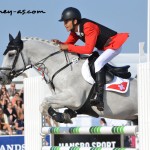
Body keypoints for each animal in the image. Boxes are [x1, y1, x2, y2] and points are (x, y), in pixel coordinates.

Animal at [0, 31, 138, 124]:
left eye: (11, 54)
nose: (2, 78)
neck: (62, 67)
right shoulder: (65, 99)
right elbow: (47, 104)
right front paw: (64, 116)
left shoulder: (74, 99)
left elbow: (44, 103)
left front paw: (57, 118)